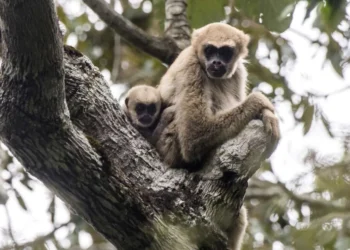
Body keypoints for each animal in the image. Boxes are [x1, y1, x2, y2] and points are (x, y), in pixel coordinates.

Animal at [156, 22, 278, 249]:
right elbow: (193, 135)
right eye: (210, 50)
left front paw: (265, 113)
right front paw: (260, 103)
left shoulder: (238, 72)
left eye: (225, 52)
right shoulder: (191, 65)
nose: (216, 61)